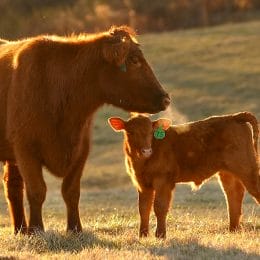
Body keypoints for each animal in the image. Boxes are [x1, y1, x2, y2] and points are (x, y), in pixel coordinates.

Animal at [0, 25, 171, 234]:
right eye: (134, 60)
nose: (166, 99)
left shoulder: (82, 149)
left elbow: (71, 191)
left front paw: (75, 228)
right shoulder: (25, 149)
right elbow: (37, 190)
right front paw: (36, 229)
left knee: (13, 187)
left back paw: (20, 230)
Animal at [108, 111, 258, 238]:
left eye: (151, 132)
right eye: (130, 132)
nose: (146, 151)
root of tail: (234, 116)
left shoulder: (163, 181)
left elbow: (160, 207)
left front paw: (160, 235)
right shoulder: (142, 183)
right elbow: (143, 208)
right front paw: (143, 235)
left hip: (247, 168)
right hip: (227, 173)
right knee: (233, 195)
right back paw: (233, 230)